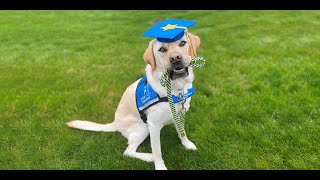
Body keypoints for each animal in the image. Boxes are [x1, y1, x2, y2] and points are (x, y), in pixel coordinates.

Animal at [66, 29, 201, 170]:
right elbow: (157, 150)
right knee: (128, 152)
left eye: (182, 43)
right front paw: (159, 166)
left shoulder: (179, 116)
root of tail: (115, 123)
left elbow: (182, 132)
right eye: (162, 49)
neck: (176, 89)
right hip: (143, 127)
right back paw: (148, 157)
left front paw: (187, 144)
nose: (175, 58)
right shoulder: (153, 126)